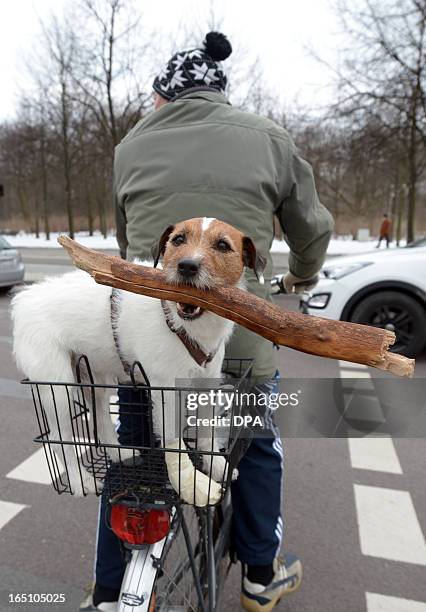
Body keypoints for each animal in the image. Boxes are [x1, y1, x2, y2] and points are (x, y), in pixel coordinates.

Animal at [11, 218, 264, 504]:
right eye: (178, 240)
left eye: (222, 245)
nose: (187, 266)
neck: (184, 326)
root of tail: (24, 298)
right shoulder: (165, 391)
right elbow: (173, 440)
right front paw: (192, 485)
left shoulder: (207, 385)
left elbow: (207, 434)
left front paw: (218, 466)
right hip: (58, 387)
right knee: (60, 438)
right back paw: (80, 480)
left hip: (94, 378)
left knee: (101, 421)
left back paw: (120, 454)